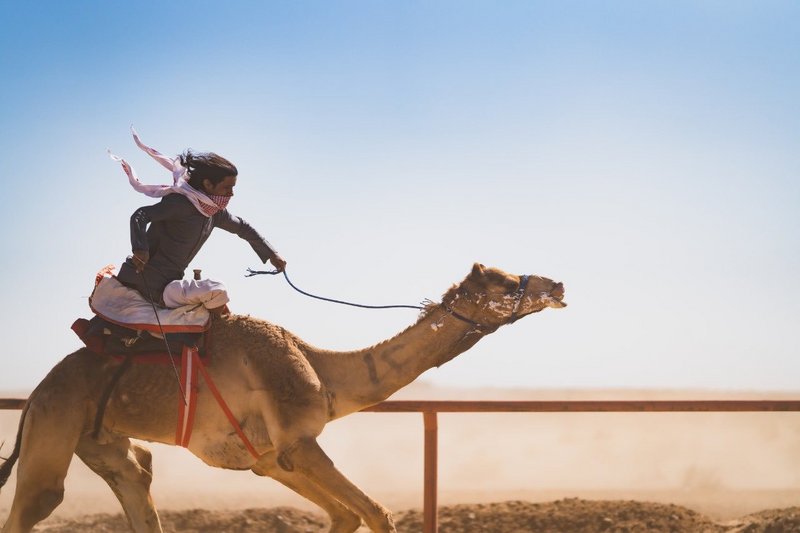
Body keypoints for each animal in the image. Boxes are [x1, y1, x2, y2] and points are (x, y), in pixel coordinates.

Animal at [0, 262, 564, 532]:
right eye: (505, 281)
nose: (557, 284)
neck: (323, 371)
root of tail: (38, 390)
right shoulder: (298, 443)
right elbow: (377, 513)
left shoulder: (269, 459)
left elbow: (346, 515)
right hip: (55, 422)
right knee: (37, 501)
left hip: (101, 440)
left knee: (137, 480)